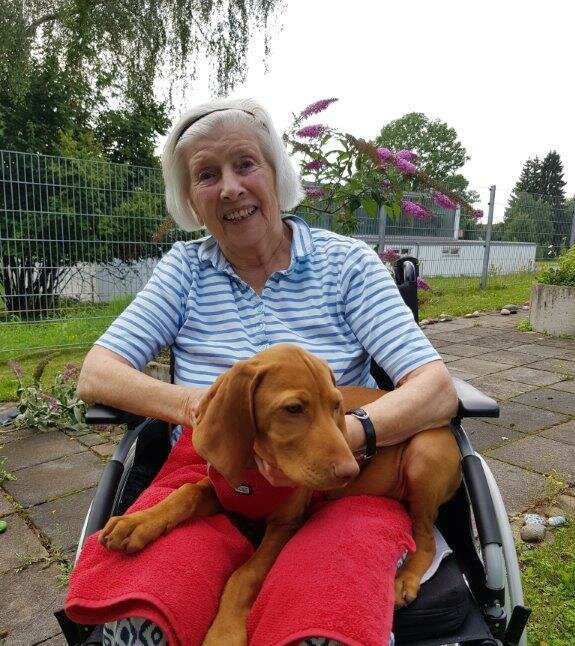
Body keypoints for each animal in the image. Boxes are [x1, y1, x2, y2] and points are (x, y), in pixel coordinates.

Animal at [100, 346, 464, 644]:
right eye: (293, 409)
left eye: (336, 405)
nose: (351, 471)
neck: (253, 473)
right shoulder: (220, 490)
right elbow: (184, 493)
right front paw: (137, 523)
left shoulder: (283, 526)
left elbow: (244, 575)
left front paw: (224, 632)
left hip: (424, 456)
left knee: (426, 538)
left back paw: (406, 579)